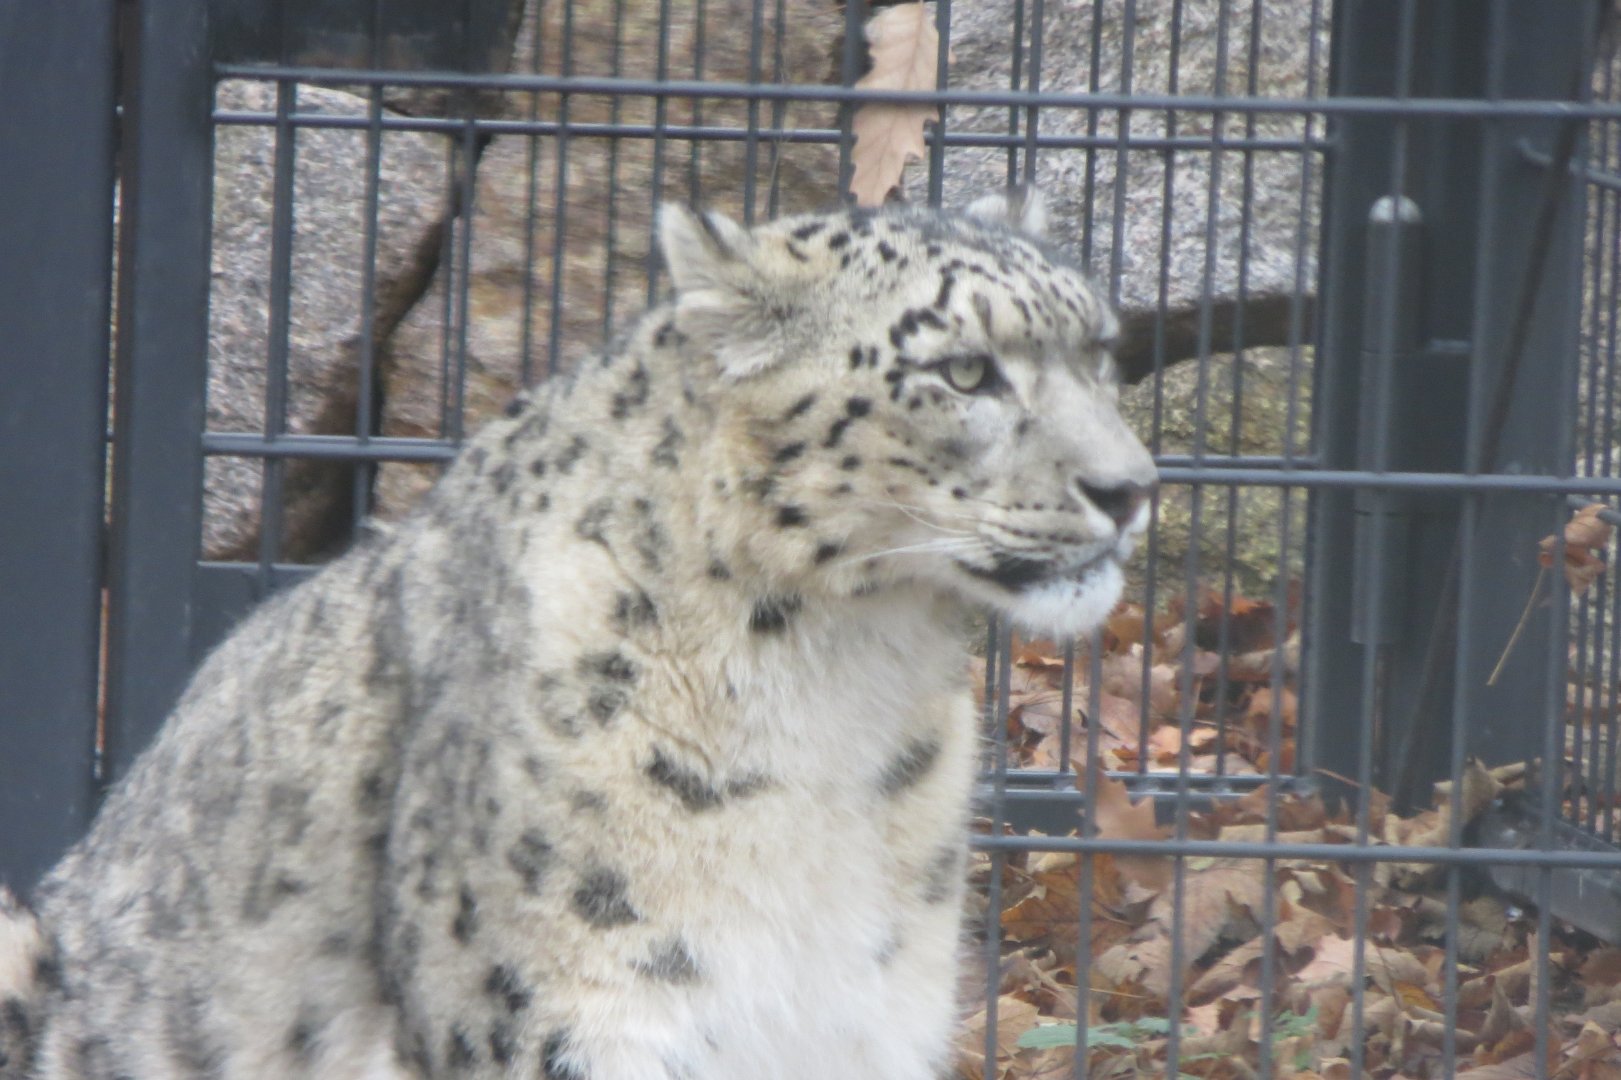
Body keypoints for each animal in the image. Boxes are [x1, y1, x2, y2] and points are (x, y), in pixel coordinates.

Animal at [0, 189, 1156, 1079]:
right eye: (964, 371)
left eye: (1101, 351)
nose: (1132, 486)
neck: (843, 687)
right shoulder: (573, 1003)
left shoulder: (869, 1013)